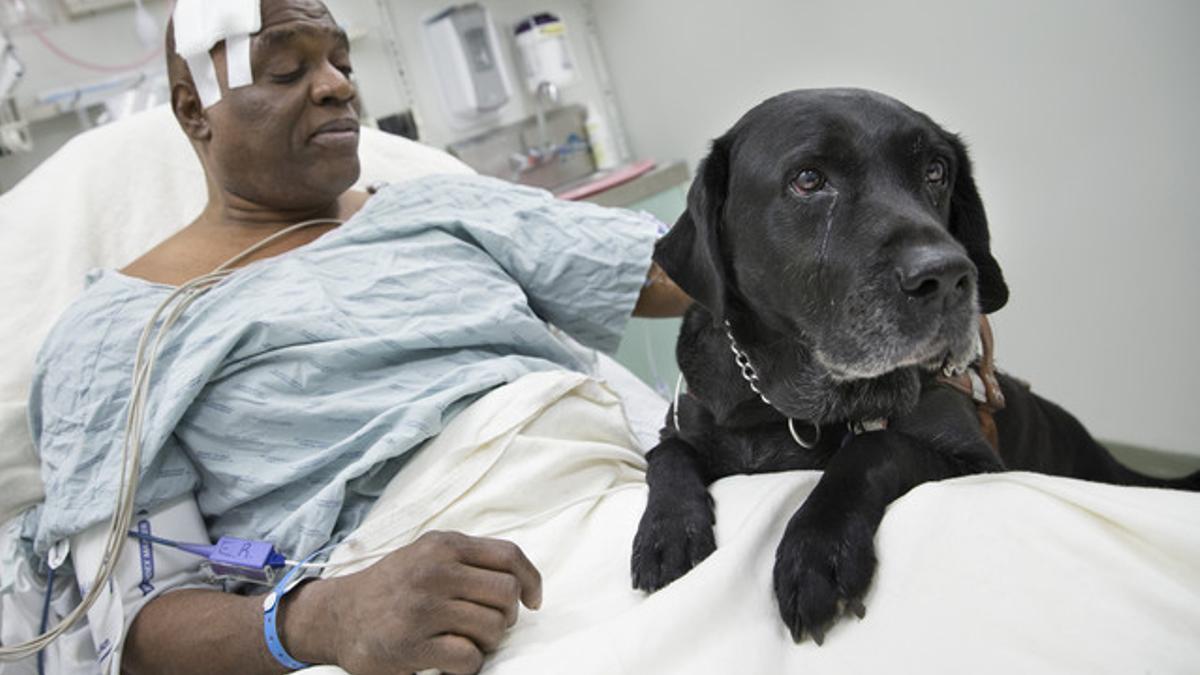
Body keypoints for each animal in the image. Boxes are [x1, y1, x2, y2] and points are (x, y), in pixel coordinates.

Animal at [633, 88, 1195, 638]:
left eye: (936, 171)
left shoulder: (977, 463)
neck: (784, 407)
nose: (947, 277)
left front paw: (818, 549)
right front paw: (668, 532)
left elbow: (874, 447)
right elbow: (668, 455)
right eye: (808, 179)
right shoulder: (684, 427)